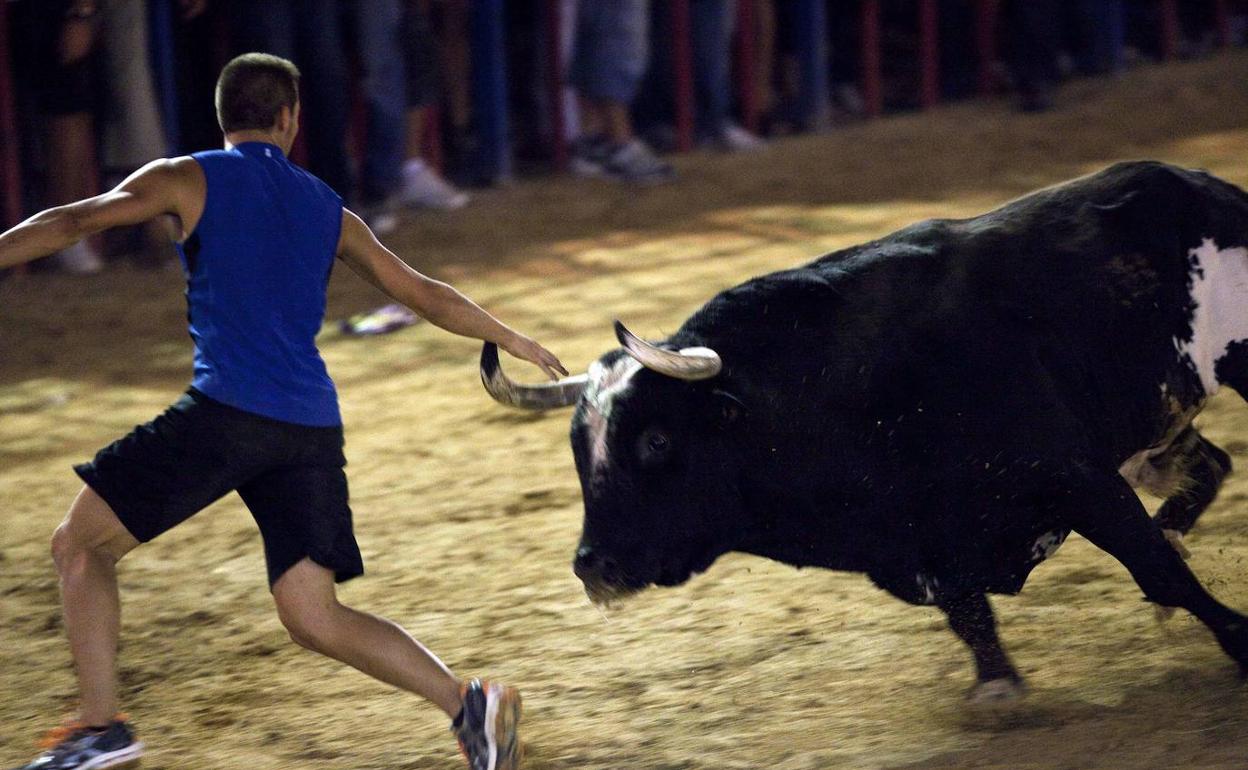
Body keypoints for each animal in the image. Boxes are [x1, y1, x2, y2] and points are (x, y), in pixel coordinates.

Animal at [474, 162, 1248, 703]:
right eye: (580, 450)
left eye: (657, 441)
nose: (593, 565)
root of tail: (1202, 185)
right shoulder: (922, 543)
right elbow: (969, 614)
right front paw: (998, 686)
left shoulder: (1077, 477)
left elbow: (1158, 570)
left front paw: (1238, 640)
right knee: (1209, 465)